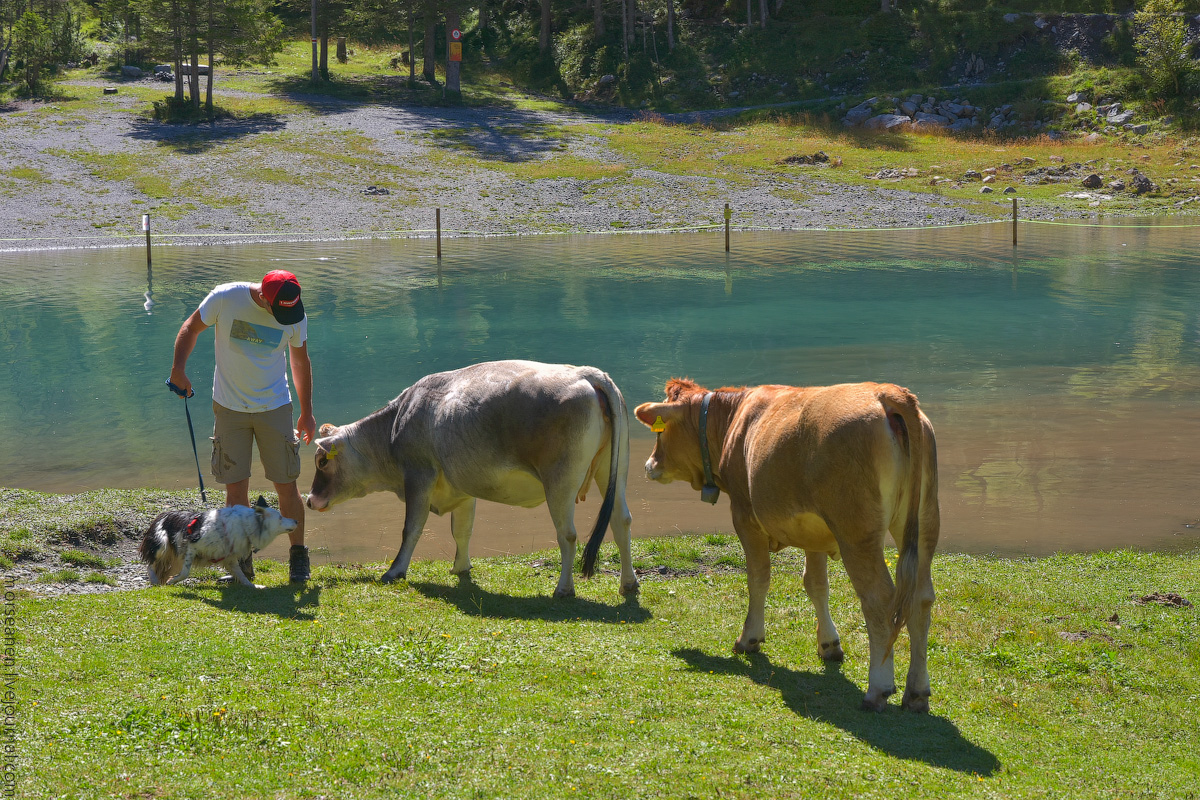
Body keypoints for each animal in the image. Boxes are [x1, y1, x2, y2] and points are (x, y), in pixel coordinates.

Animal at [139, 494, 297, 587]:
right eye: (281, 517)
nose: (296, 520)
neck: (245, 526)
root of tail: (162, 514)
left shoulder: (229, 557)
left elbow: (242, 576)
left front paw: (254, 586)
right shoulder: (192, 545)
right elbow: (186, 573)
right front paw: (173, 580)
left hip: (176, 558)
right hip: (163, 546)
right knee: (150, 565)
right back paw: (155, 581)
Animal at [309, 359, 643, 597]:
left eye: (322, 461)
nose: (310, 500)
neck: (394, 426)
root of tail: (586, 373)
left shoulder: (418, 475)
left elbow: (411, 528)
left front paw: (395, 571)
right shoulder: (462, 487)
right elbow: (462, 530)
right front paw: (460, 568)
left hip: (560, 480)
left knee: (568, 534)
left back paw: (563, 589)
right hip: (614, 471)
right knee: (621, 521)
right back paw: (628, 584)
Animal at [638, 381, 936, 714]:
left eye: (660, 432)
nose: (649, 464)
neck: (731, 419)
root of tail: (886, 392)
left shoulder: (744, 515)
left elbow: (758, 578)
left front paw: (749, 639)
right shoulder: (814, 530)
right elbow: (816, 585)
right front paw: (829, 644)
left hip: (857, 533)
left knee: (880, 600)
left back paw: (878, 689)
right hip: (923, 523)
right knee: (921, 598)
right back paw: (917, 692)